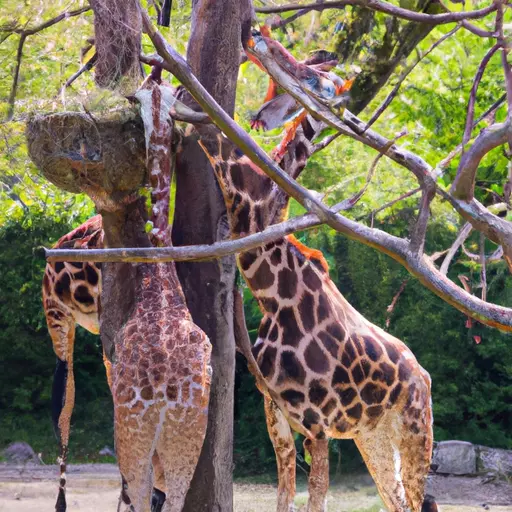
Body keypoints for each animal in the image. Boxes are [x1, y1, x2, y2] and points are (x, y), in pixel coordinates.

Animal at [195, 122, 436, 510]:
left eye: (244, 154)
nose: (202, 129)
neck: (275, 299)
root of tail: (424, 377)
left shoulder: (318, 425)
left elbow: (317, 495)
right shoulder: (276, 414)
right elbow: (285, 494)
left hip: (415, 430)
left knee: (419, 500)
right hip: (373, 438)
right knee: (395, 499)